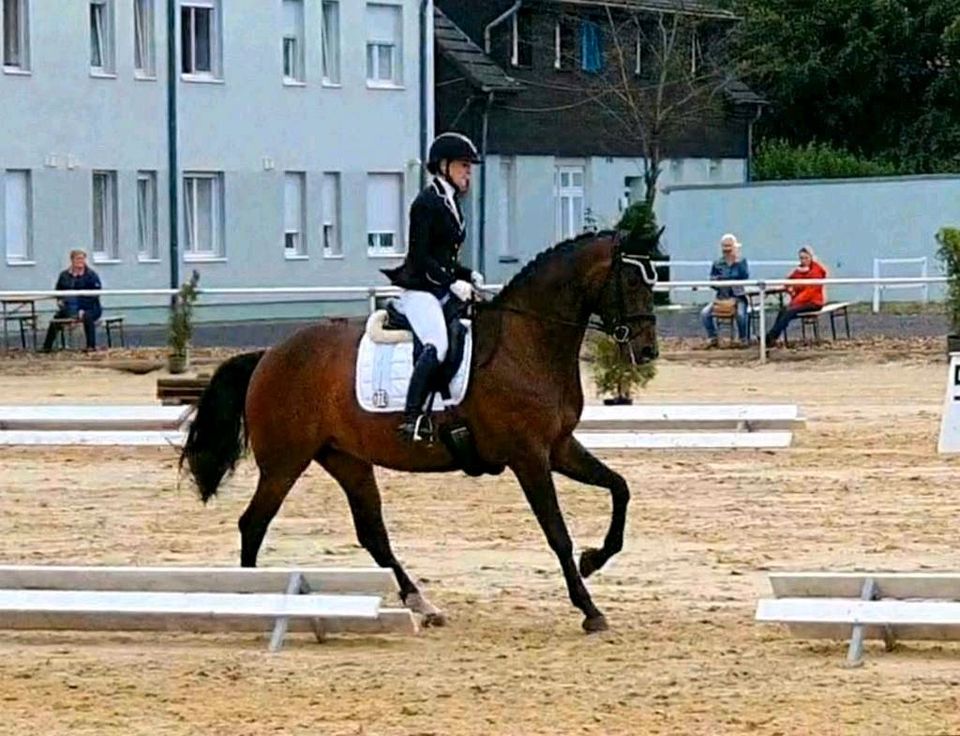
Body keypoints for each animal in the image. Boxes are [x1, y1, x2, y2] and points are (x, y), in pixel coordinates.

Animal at [180, 231, 660, 632]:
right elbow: (557, 532)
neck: (527, 341)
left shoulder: (558, 447)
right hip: (284, 463)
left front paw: (594, 559)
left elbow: (620, 488)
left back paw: (422, 604)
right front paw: (589, 608)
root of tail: (268, 355)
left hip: (346, 459)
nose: (647, 350)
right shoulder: (529, 457)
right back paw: (254, 604)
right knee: (253, 524)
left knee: (372, 535)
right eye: (631, 282)